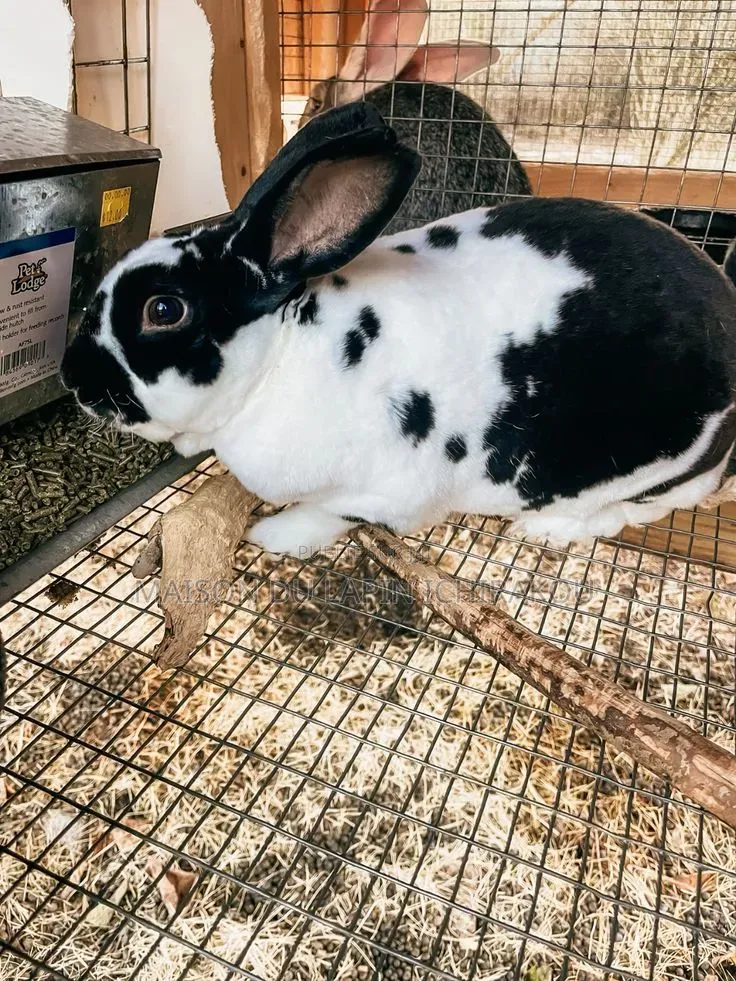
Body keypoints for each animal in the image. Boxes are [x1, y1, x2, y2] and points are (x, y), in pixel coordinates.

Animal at [61, 102, 736, 556]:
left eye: (164, 310)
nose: (72, 379)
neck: (284, 353)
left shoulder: (383, 493)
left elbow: (329, 516)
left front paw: (274, 534)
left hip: (647, 476)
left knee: (629, 513)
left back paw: (543, 528)